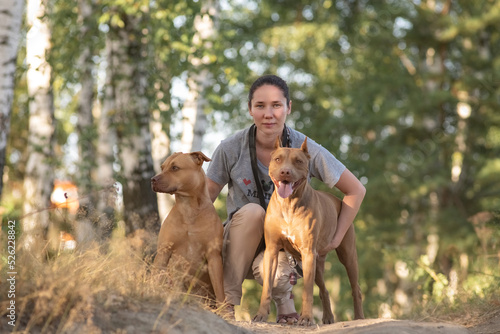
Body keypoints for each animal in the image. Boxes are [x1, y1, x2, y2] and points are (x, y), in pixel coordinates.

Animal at [150, 153, 225, 306]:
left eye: (175, 168)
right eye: (162, 167)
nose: (152, 179)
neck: (188, 208)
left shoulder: (214, 255)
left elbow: (220, 290)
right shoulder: (164, 251)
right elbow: (155, 276)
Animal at [254, 138, 364, 326]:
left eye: (298, 161)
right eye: (278, 159)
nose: (285, 171)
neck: (288, 204)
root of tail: (338, 200)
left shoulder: (308, 253)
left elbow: (307, 291)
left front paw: (306, 318)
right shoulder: (272, 251)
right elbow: (267, 287)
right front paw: (261, 314)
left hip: (347, 256)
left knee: (355, 288)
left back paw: (358, 317)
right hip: (317, 264)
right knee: (324, 290)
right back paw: (328, 317)